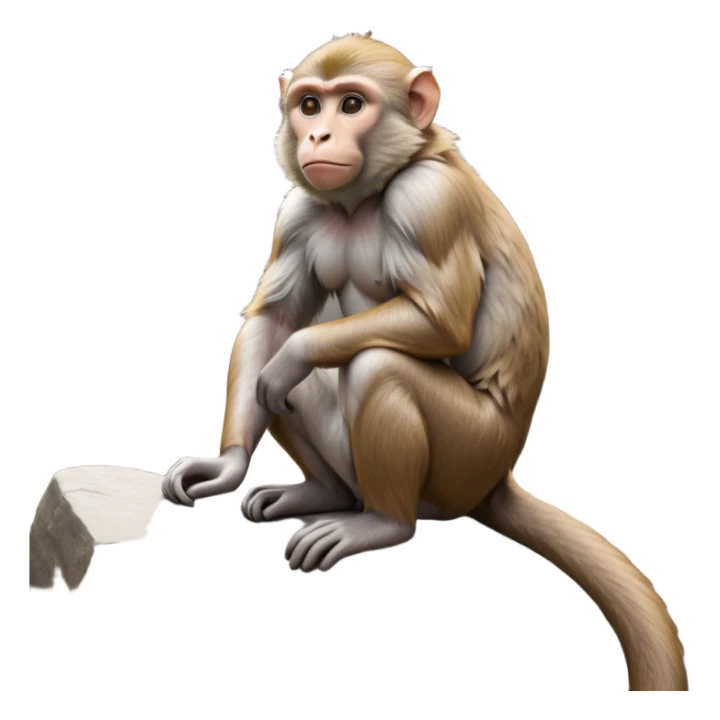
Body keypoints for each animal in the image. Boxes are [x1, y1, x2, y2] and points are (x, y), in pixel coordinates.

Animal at [162, 32, 688, 691]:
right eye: (309, 105)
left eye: (351, 104)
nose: (318, 136)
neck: (365, 198)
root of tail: (495, 481)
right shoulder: (300, 210)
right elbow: (273, 324)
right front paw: (226, 464)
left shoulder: (429, 202)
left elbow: (435, 323)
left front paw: (297, 355)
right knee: (278, 384)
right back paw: (322, 493)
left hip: (467, 457)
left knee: (373, 367)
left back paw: (384, 523)